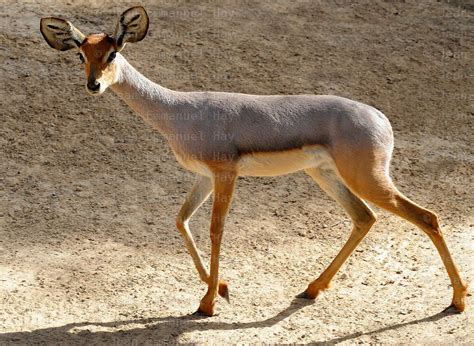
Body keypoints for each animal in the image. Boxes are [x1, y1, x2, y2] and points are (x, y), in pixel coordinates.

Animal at [39, 6, 466, 316]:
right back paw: (311, 289)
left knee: (427, 216)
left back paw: (458, 300)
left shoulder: (226, 174)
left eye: (113, 52)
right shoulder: (203, 176)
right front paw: (223, 289)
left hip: (367, 178)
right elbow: (181, 220)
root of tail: (381, 119)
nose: (94, 85)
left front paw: (208, 304)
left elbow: (216, 230)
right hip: (325, 175)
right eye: (81, 54)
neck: (179, 111)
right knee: (364, 218)